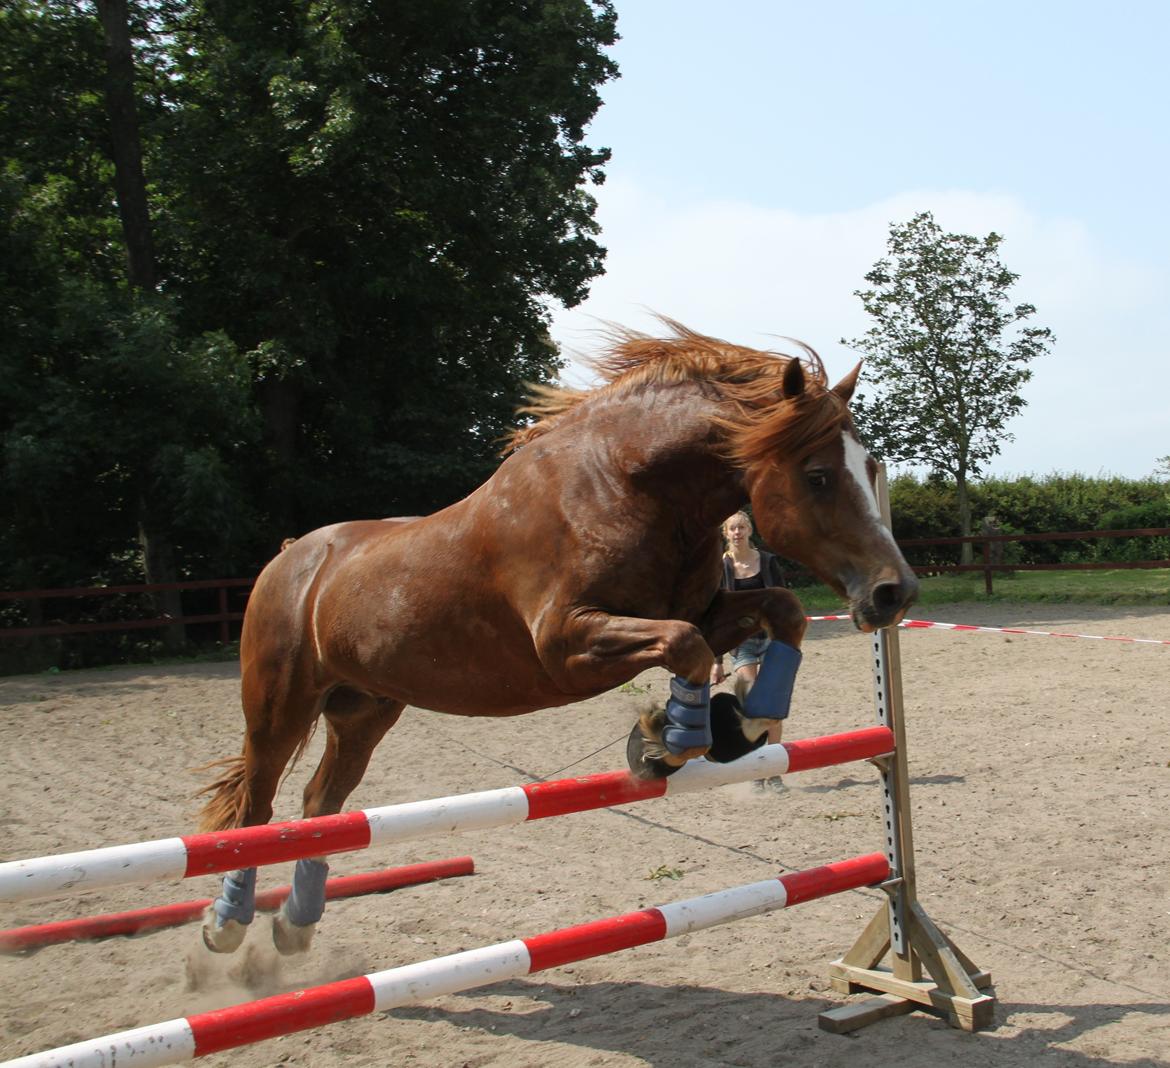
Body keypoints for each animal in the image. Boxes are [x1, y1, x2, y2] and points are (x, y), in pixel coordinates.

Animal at [196, 320, 917, 954]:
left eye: (868, 468)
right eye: (817, 475)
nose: (895, 592)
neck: (628, 484)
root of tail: (291, 556)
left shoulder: (707, 611)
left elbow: (778, 613)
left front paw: (740, 721)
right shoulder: (567, 647)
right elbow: (684, 645)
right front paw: (668, 741)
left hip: (364, 710)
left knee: (321, 805)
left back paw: (294, 927)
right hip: (280, 707)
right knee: (255, 809)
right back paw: (227, 925)